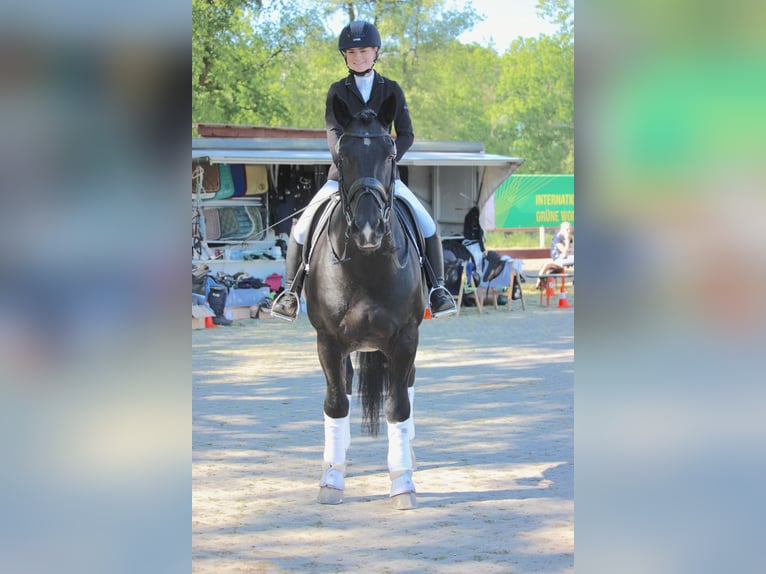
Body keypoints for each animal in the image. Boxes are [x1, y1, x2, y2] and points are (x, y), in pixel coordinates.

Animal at [302, 93, 426, 510]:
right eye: (342, 156)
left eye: (390, 153)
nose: (368, 230)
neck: (368, 265)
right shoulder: (328, 340)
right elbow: (336, 403)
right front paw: (331, 479)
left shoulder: (405, 339)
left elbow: (397, 406)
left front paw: (402, 482)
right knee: (343, 387)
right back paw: (340, 458)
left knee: (407, 387)